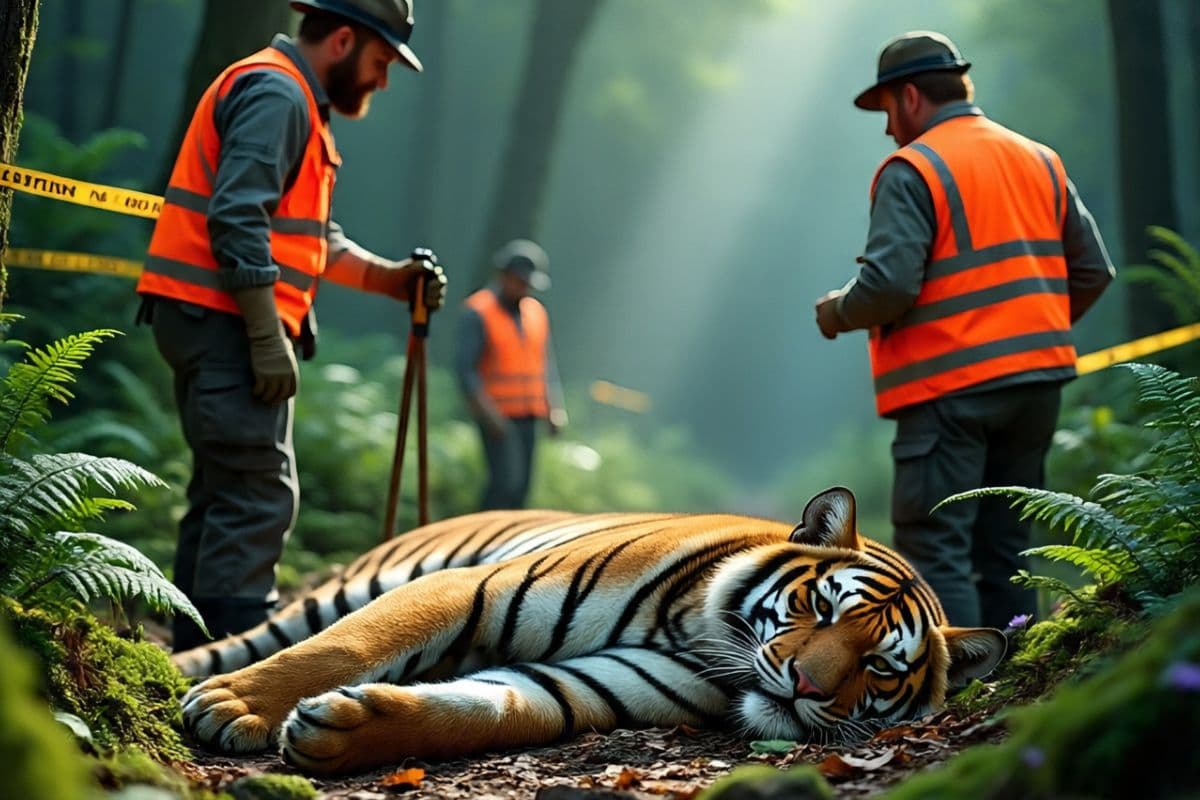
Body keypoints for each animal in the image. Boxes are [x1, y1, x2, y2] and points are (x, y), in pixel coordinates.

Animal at [175, 487, 1006, 775]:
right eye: (825, 609)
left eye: (880, 667)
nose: (805, 685)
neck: (697, 634)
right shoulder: (475, 588)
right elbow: (347, 646)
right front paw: (240, 709)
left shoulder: (594, 683)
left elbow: (487, 708)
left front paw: (343, 733)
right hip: (361, 583)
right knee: (255, 636)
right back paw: (194, 677)